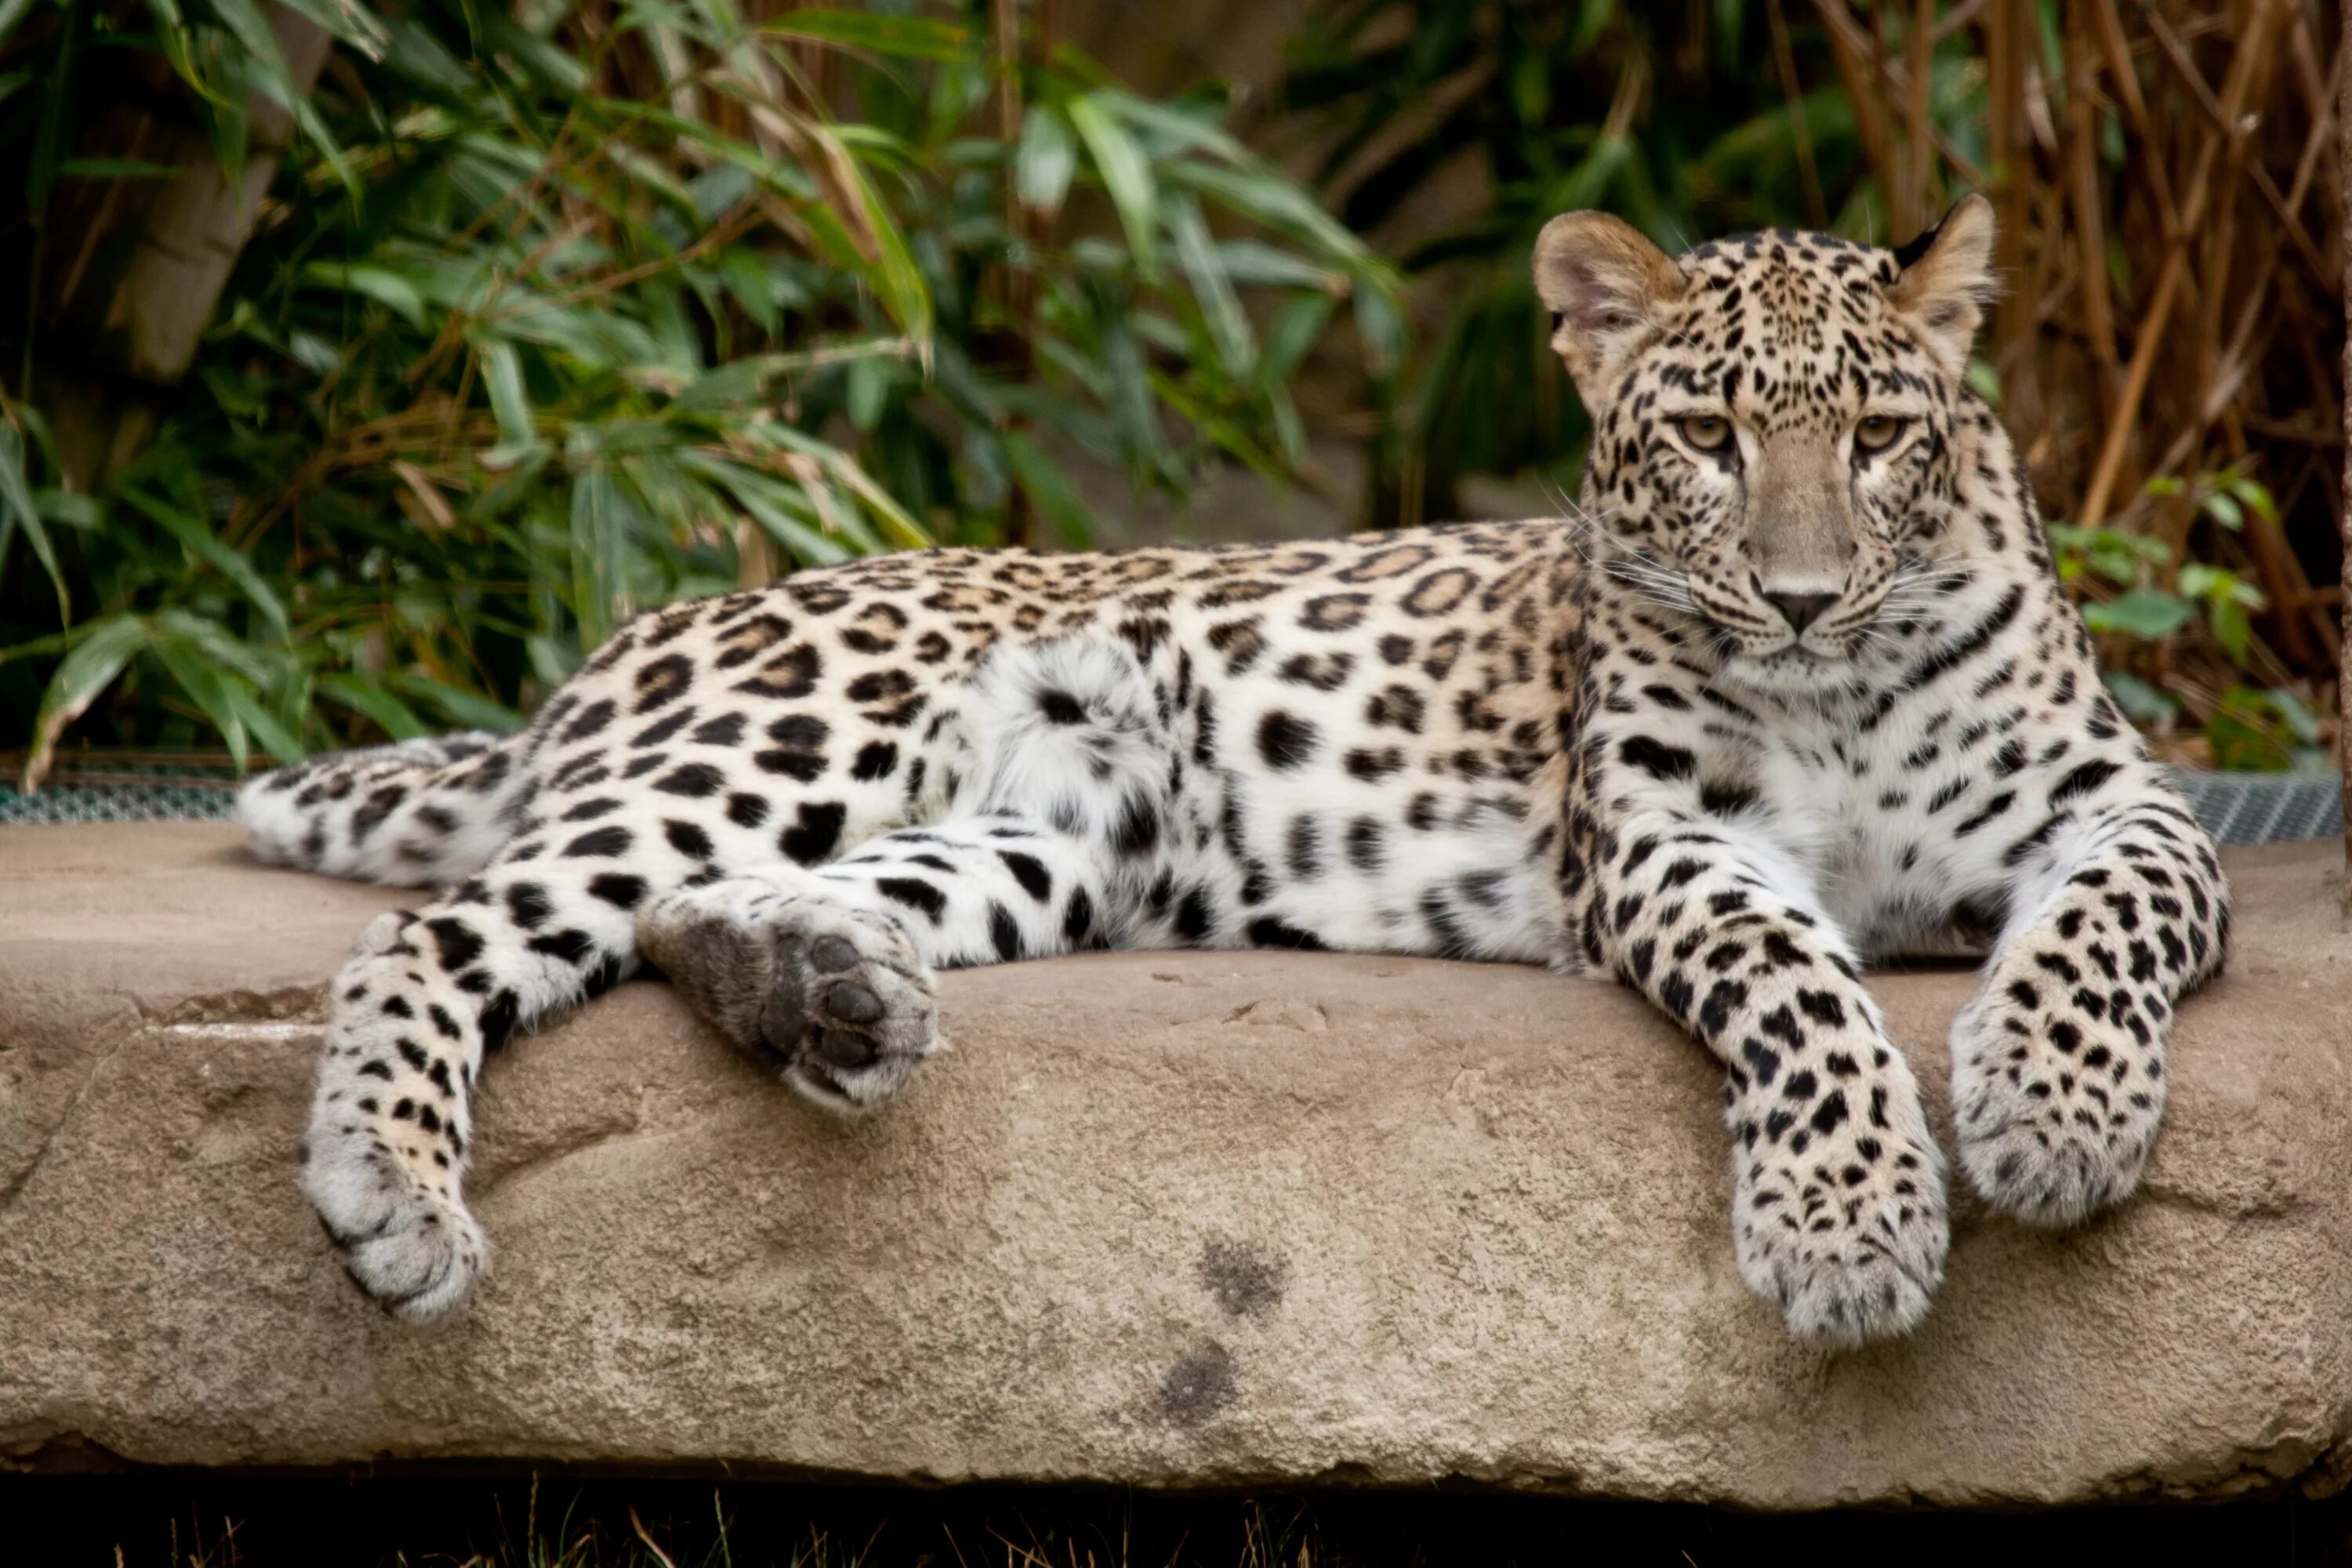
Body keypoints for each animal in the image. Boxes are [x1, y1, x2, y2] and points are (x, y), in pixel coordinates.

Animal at [238, 196, 2220, 1354]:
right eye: (1710, 439)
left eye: (1882, 436)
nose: (1803, 596)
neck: (1837, 696)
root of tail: (614, 645)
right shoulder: (1666, 843)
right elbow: (1800, 989)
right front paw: (1848, 1222)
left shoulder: (2122, 798)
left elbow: (2102, 917)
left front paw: (2052, 1112)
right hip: (808, 731)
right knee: (439, 931)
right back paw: (394, 1188)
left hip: (1059, 840)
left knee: (686, 914)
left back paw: (832, 1000)